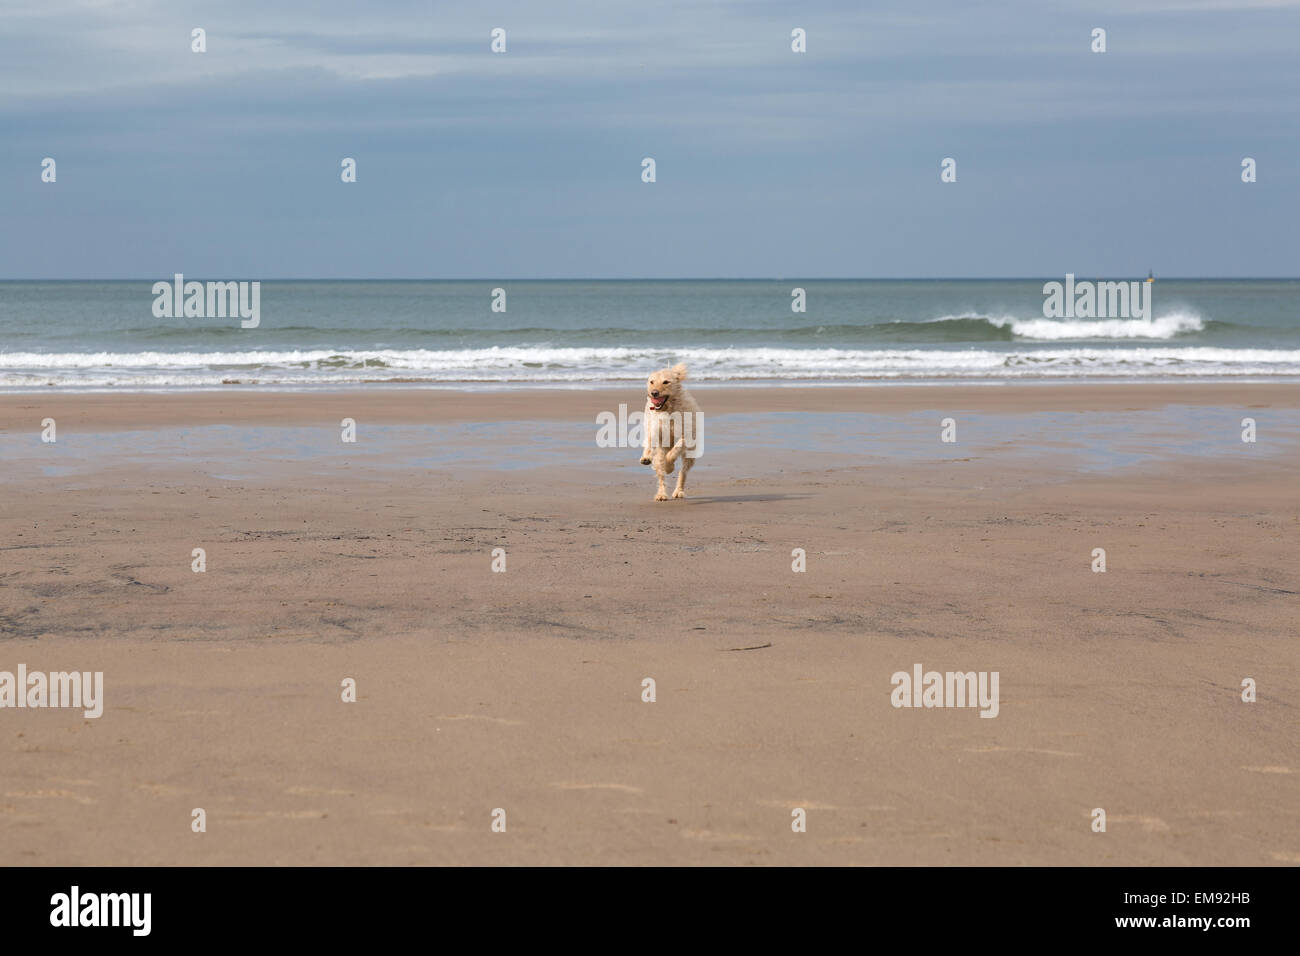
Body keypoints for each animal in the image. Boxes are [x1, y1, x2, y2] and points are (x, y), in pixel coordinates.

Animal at [639, 361, 702, 504]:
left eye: (666, 382)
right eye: (651, 381)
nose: (654, 393)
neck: (668, 409)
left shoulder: (687, 434)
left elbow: (676, 449)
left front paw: (669, 465)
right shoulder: (655, 430)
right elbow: (651, 442)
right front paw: (648, 458)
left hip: (689, 455)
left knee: (683, 472)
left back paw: (678, 491)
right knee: (660, 472)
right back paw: (661, 494)